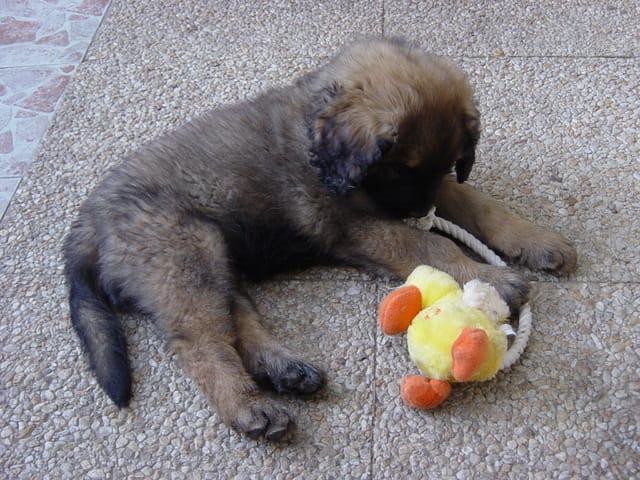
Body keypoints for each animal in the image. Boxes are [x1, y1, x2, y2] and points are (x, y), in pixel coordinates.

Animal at [64, 37, 576, 441]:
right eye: (400, 168)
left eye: (447, 162)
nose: (418, 214)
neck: (315, 136)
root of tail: (89, 218)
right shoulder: (358, 225)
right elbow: (432, 246)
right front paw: (491, 278)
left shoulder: (430, 193)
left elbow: (480, 203)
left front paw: (538, 240)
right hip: (187, 256)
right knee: (201, 343)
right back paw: (249, 407)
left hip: (217, 256)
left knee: (237, 320)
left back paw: (286, 370)